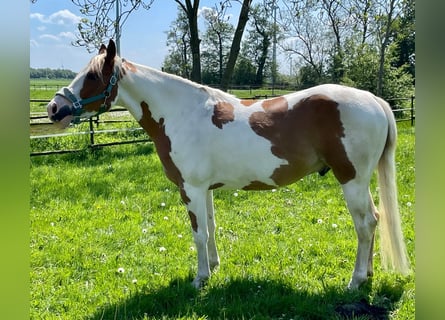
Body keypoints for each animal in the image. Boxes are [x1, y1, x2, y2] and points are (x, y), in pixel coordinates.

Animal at [46, 40, 410, 290]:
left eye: (93, 76)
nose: (53, 108)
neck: (181, 113)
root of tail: (374, 100)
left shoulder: (190, 189)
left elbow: (198, 233)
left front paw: (199, 279)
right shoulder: (204, 189)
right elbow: (210, 229)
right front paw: (214, 268)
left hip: (352, 180)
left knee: (365, 224)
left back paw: (356, 281)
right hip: (360, 182)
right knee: (374, 220)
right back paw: (368, 275)